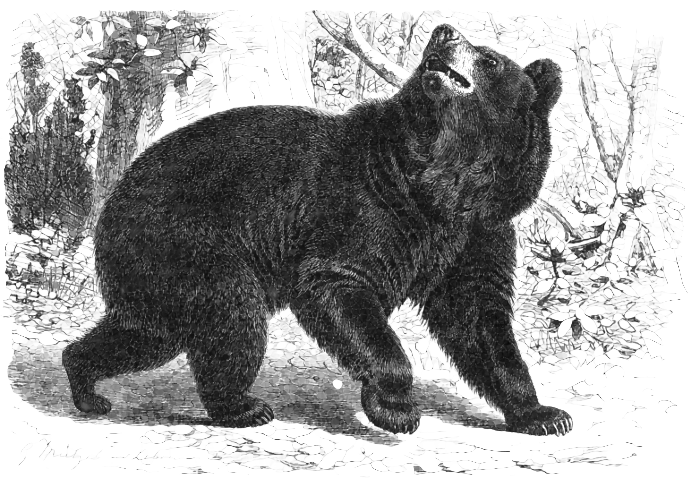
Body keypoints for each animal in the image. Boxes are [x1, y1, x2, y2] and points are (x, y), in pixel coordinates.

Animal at [62, 23, 571, 436]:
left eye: (490, 59)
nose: (443, 32)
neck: (443, 183)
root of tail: (113, 199)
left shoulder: (479, 231)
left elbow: (480, 322)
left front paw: (542, 414)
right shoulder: (366, 207)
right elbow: (335, 282)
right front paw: (395, 409)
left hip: (154, 269)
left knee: (146, 331)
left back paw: (85, 382)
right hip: (182, 242)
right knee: (231, 317)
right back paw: (240, 407)